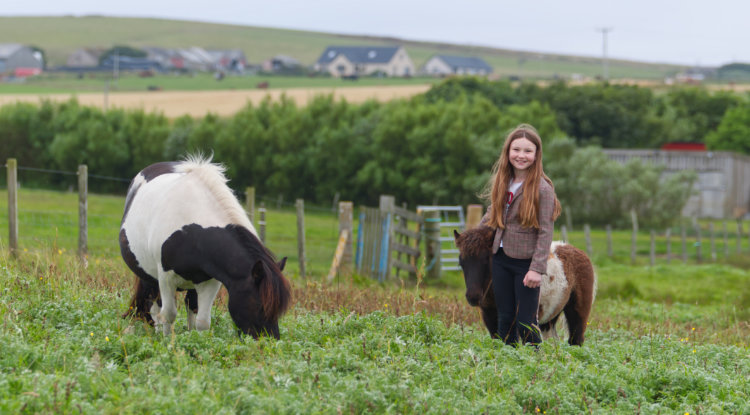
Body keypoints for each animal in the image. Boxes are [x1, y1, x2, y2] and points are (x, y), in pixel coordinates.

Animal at [120, 156, 290, 338]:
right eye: (259, 306)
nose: (270, 340)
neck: (192, 231)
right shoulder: (166, 277)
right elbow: (168, 314)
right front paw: (166, 341)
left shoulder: (210, 281)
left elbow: (202, 321)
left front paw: (198, 342)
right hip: (149, 277)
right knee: (155, 307)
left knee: (190, 305)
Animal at [452, 226, 600, 346]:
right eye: (461, 262)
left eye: (486, 260)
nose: (473, 297)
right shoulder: (490, 318)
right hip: (551, 315)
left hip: (577, 312)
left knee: (575, 341)